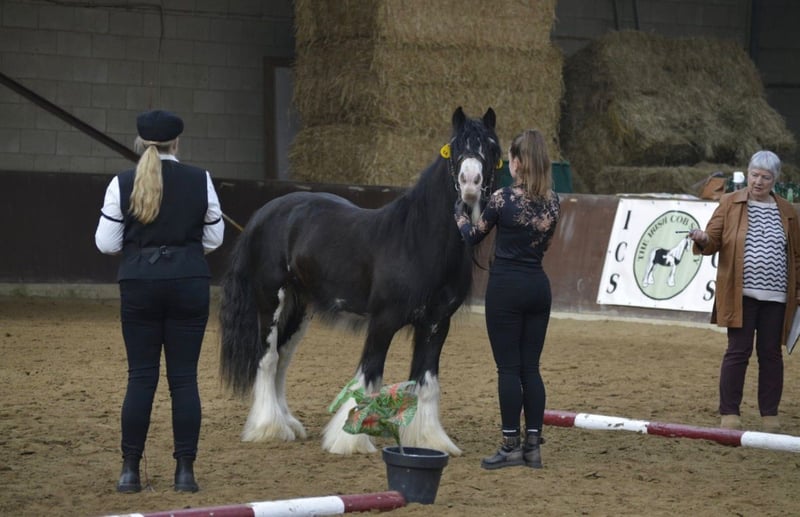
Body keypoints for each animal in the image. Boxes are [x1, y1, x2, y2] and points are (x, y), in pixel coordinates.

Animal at [218, 107, 502, 456]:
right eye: (455, 146)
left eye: (492, 147)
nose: (470, 184)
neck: (417, 241)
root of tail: (264, 213)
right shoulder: (383, 320)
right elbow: (369, 377)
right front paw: (349, 440)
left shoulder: (435, 325)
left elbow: (425, 383)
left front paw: (428, 439)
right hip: (271, 300)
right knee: (268, 358)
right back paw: (269, 428)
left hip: (300, 307)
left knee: (283, 359)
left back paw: (288, 424)